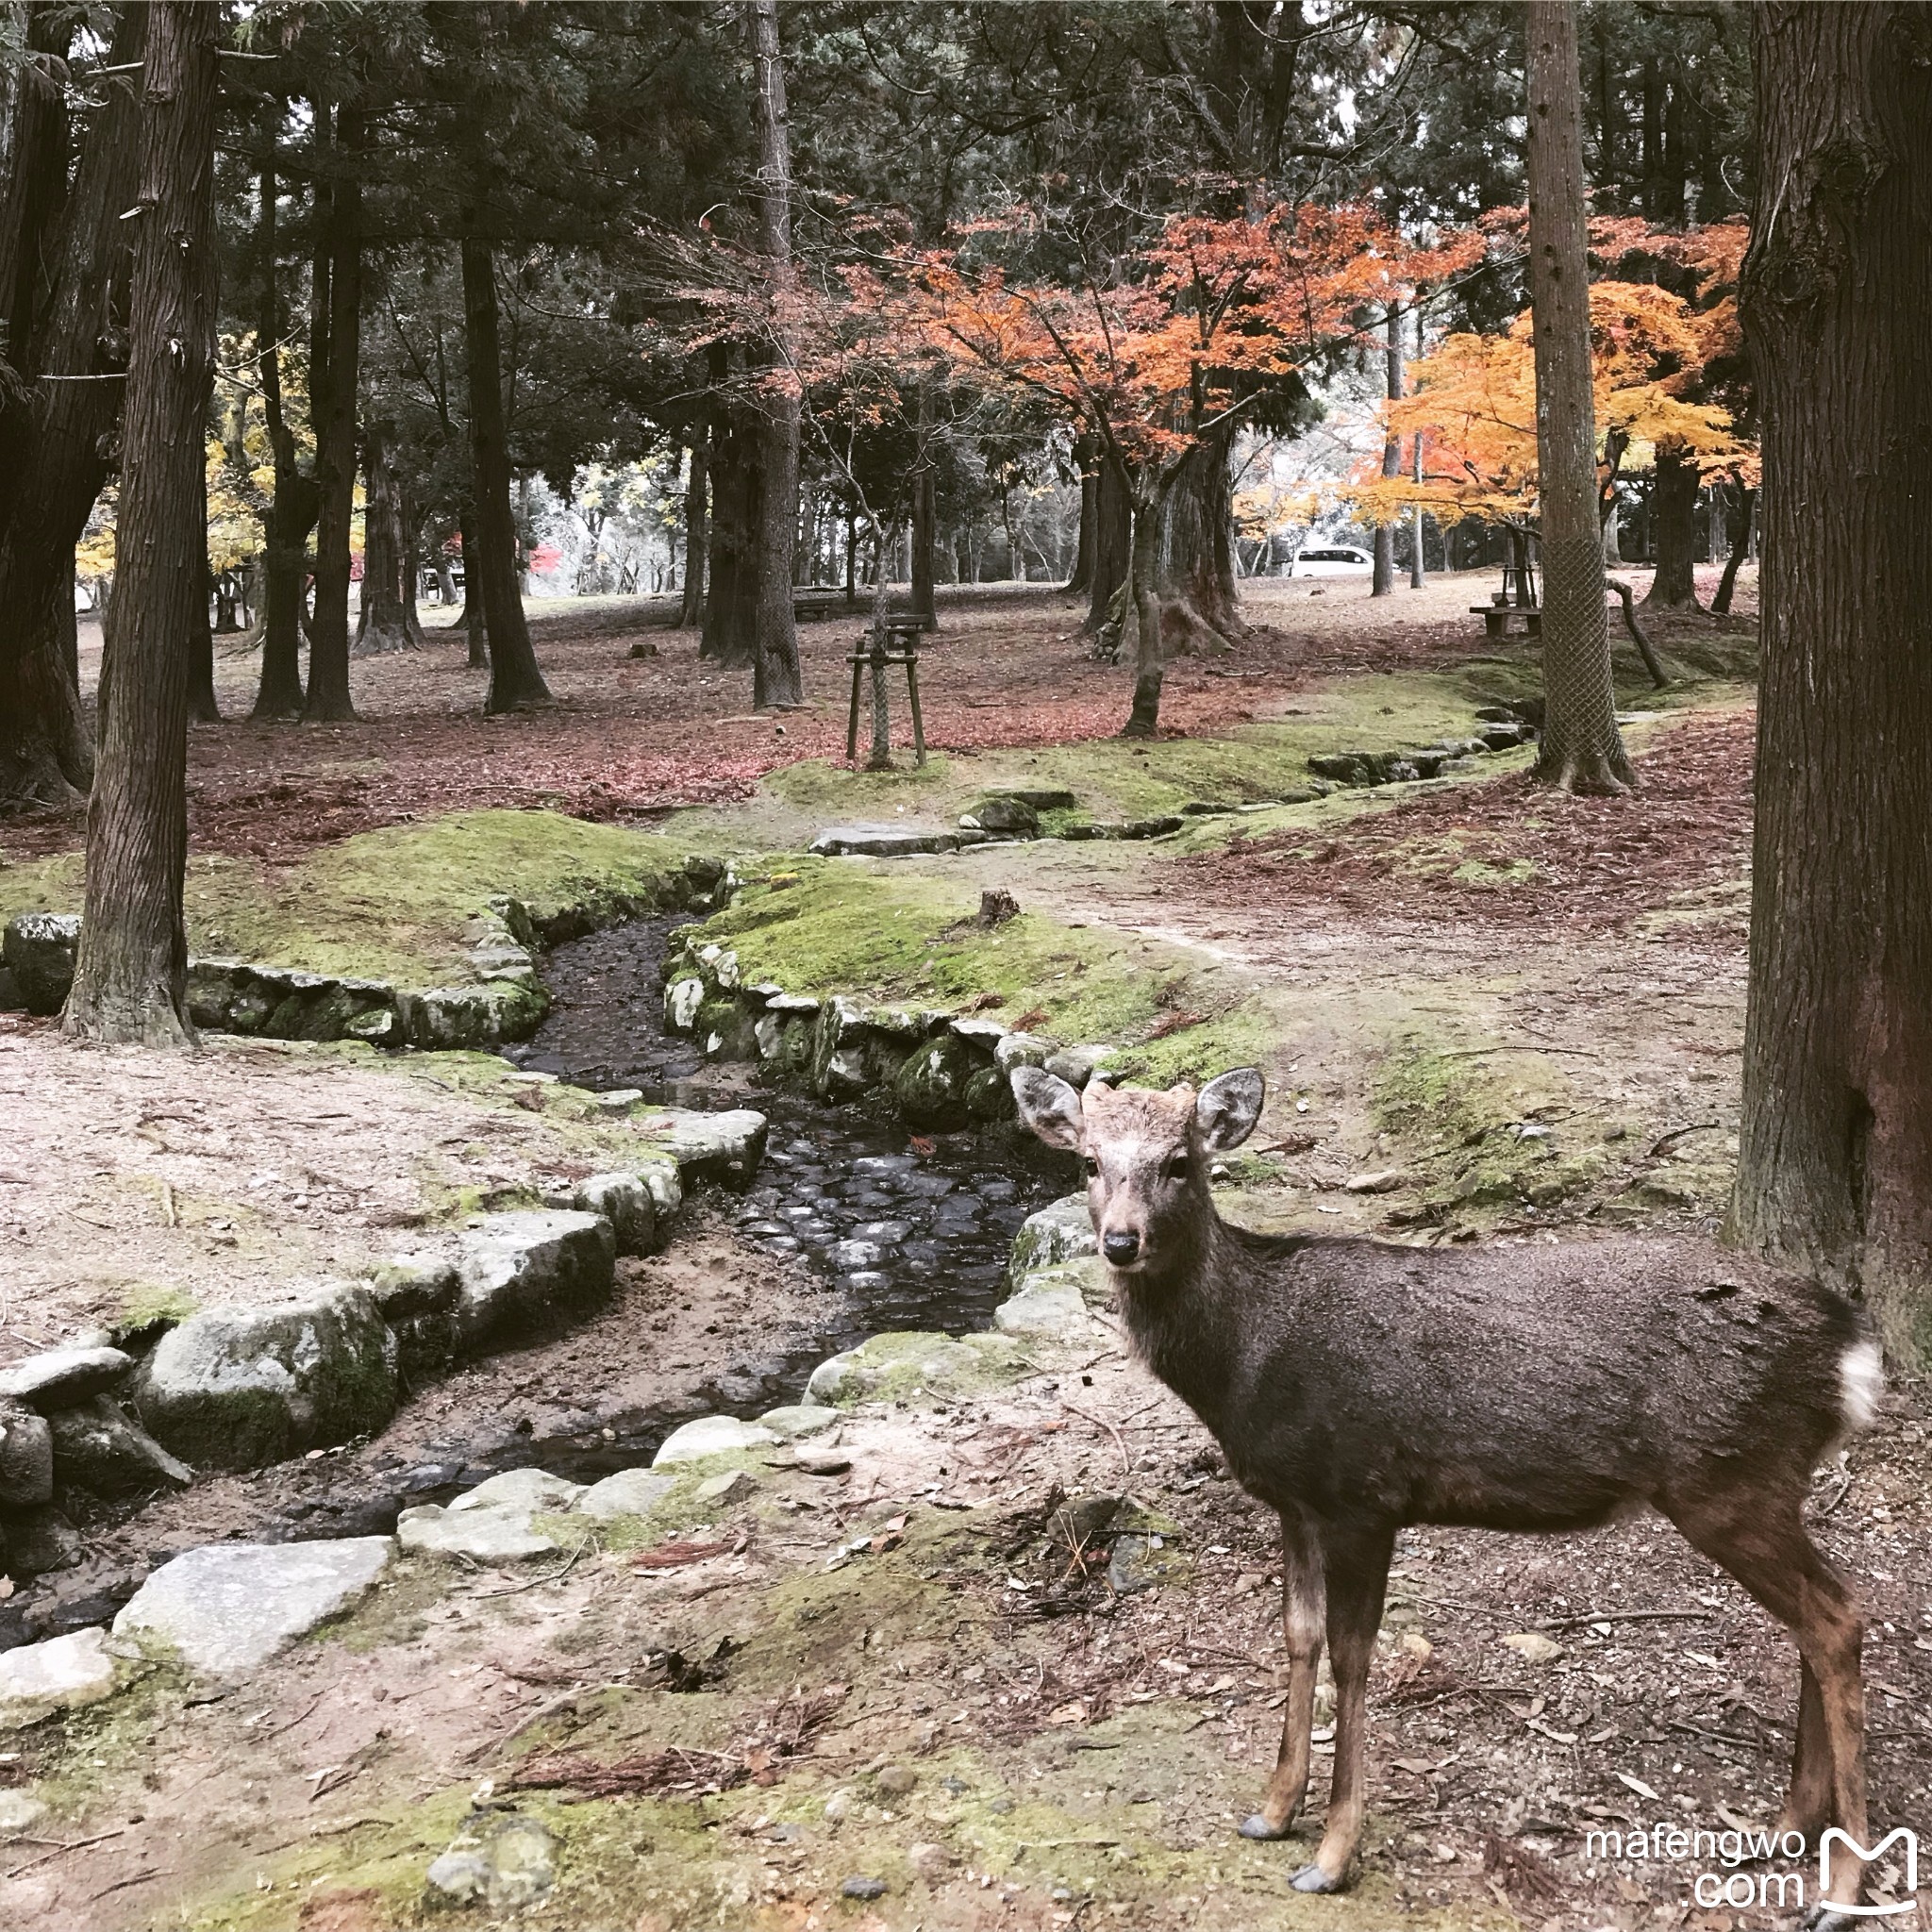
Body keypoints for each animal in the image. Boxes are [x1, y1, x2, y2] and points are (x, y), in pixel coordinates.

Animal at [1004, 1066, 1877, 1924]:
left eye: (1181, 1163)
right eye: (1088, 1162)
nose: (1121, 1241)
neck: (1245, 1362)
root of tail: (1853, 1353)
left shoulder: (1362, 1494)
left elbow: (1354, 1655)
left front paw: (1331, 1857)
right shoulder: (1295, 1502)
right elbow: (1298, 1635)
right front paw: (1274, 1811)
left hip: (1729, 1479)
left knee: (1837, 1617)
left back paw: (1839, 1890)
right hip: (1761, 1485)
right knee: (1818, 1618)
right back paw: (1787, 1827)